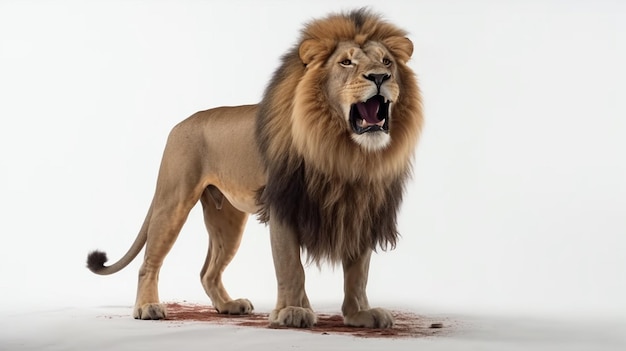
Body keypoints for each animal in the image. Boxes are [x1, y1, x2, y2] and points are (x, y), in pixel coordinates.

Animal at [86, 10, 420, 330]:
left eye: (387, 61)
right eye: (346, 62)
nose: (380, 76)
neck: (345, 152)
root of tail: (181, 123)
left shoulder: (362, 210)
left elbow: (358, 273)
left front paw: (359, 313)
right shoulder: (285, 205)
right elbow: (290, 265)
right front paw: (293, 311)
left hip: (227, 219)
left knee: (207, 271)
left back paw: (228, 305)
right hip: (173, 201)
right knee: (149, 263)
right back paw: (147, 307)